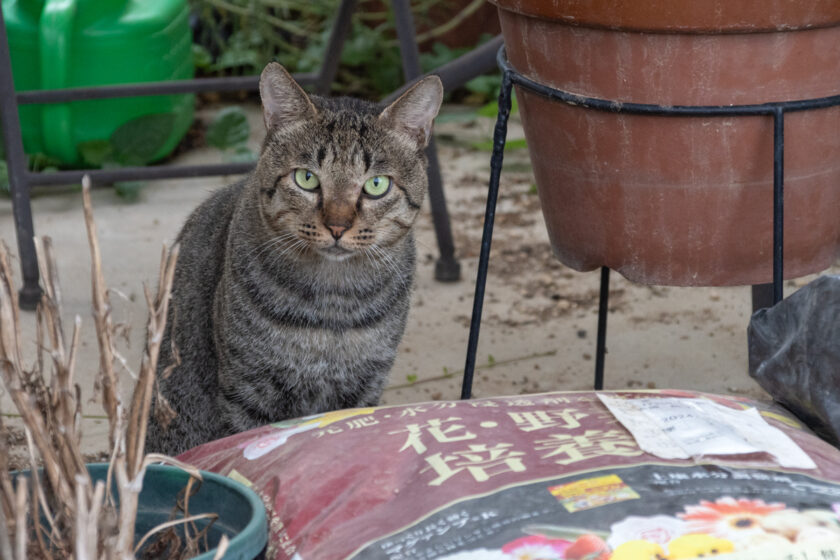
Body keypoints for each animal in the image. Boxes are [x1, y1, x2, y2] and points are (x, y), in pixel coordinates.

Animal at [147, 62, 442, 456]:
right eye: (306, 178)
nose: (337, 226)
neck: (334, 304)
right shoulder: (248, 390)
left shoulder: (364, 385)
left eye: (376, 185)